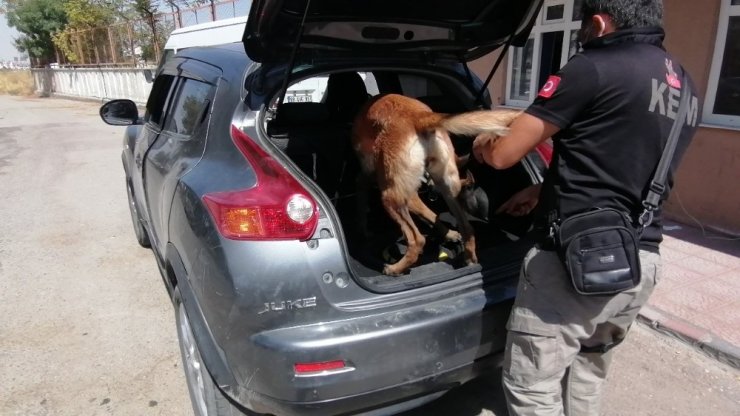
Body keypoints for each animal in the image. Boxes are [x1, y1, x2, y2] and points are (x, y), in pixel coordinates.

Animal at [352, 94, 520, 276]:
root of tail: (419, 116)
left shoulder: (368, 180)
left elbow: (360, 205)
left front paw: (362, 231)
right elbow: (432, 215)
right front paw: (450, 234)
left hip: (391, 197)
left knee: (417, 239)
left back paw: (395, 268)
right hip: (448, 190)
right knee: (467, 228)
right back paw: (469, 258)